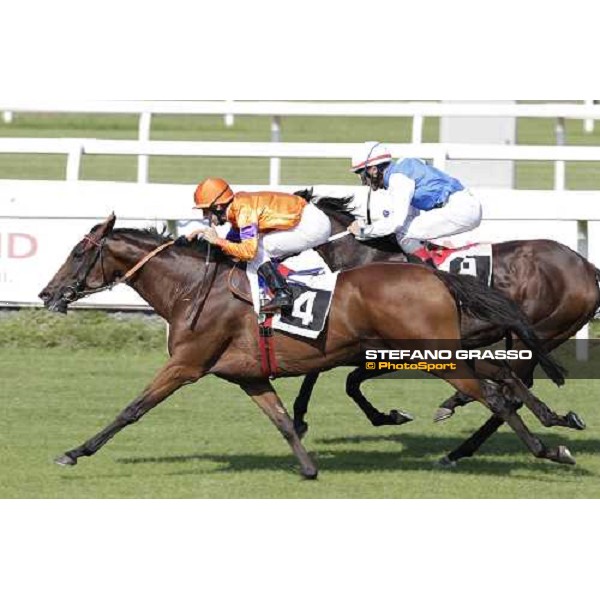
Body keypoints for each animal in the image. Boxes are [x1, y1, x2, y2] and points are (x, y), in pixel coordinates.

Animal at [39, 214, 576, 478]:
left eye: (79, 252)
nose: (47, 293)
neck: (193, 289)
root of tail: (435, 276)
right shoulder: (249, 376)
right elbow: (281, 420)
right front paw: (309, 468)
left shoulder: (187, 364)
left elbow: (132, 409)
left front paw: (75, 452)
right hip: (438, 350)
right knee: (501, 379)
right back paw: (554, 422)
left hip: (433, 355)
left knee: (495, 394)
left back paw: (548, 450)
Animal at [292, 190, 596, 462]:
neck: (367, 259)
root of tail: (588, 268)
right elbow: (316, 370)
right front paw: (299, 419)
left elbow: (346, 379)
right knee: (513, 385)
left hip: (537, 334)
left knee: (510, 393)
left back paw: (458, 436)